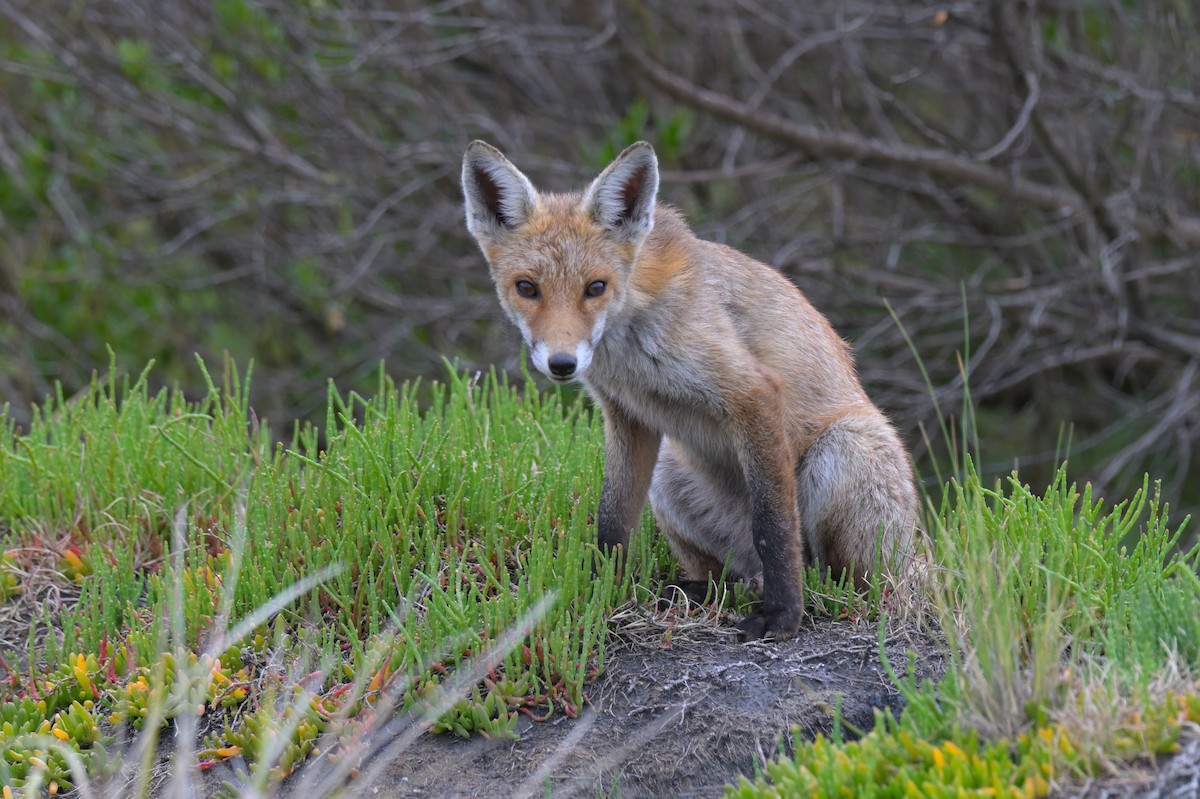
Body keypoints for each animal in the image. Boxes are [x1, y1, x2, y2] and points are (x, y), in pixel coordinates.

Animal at [461, 139, 917, 640]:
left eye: (595, 287)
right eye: (527, 288)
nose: (563, 363)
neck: (630, 348)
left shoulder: (751, 392)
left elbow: (773, 526)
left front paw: (783, 615)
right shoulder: (627, 415)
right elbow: (612, 522)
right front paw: (599, 589)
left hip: (844, 451)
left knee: (838, 578)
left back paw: (810, 593)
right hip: (669, 475)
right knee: (733, 573)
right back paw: (702, 590)